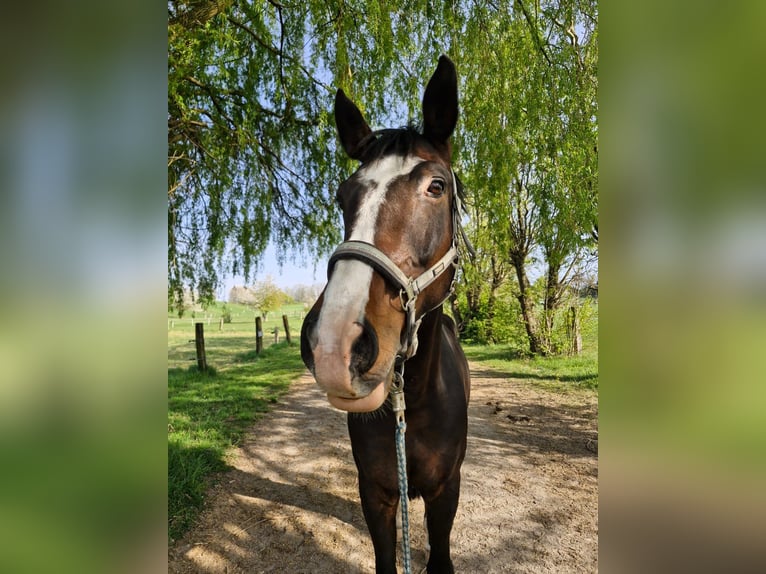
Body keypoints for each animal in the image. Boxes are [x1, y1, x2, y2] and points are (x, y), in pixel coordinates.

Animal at [300, 55, 471, 574]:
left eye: (436, 186)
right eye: (342, 195)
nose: (335, 345)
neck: (412, 405)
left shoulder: (445, 493)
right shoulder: (375, 493)